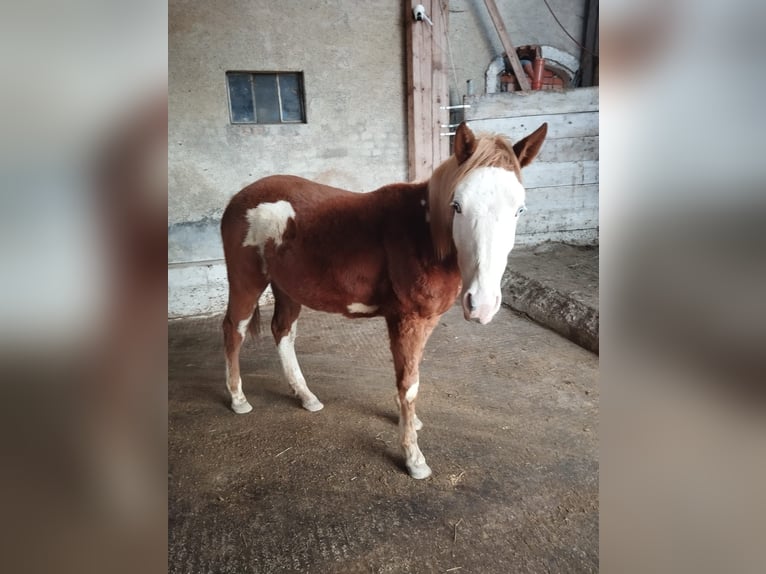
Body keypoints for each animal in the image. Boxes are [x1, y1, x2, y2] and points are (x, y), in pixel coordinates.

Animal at [219, 122, 548, 482]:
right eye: (458, 205)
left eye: (519, 209)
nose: (482, 305)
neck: (426, 236)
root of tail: (238, 199)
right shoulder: (408, 320)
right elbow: (409, 384)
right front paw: (414, 458)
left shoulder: (424, 322)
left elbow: (409, 377)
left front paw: (411, 423)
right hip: (247, 283)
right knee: (234, 330)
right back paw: (238, 398)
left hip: (288, 289)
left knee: (283, 333)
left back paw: (305, 396)